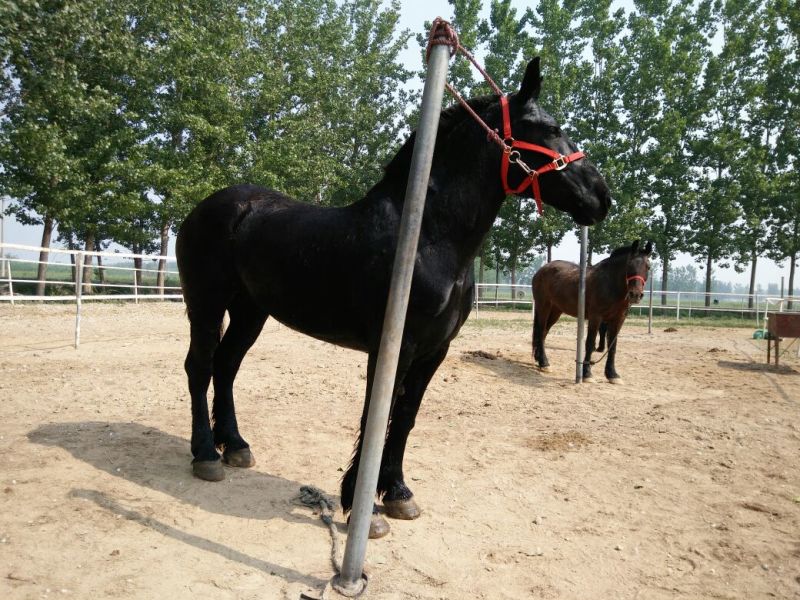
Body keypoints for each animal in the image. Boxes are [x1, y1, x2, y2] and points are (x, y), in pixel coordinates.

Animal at [175, 58, 611, 538]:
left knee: (226, 366)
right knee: (200, 367)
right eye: (550, 129)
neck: (427, 238)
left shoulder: (434, 351)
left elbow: (404, 417)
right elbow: (376, 416)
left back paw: (234, 445)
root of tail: (205, 209)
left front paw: (398, 494)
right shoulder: (393, 347)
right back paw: (206, 455)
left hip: (251, 312)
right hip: (206, 304)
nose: (601, 198)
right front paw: (360, 508)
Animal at [531, 240, 652, 383]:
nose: (635, 294)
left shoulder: (618, 319)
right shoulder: (596, 317)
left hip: (556, 311)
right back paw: (544, 363)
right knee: (540, 332)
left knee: (544, 332)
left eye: (648, 267)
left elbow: (612, 347)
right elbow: (590, 343)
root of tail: (541, 270)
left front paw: (612, 374)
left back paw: (539, 360)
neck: (610, 284)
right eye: (629, 265)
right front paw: (587, 373)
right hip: (543, 307)